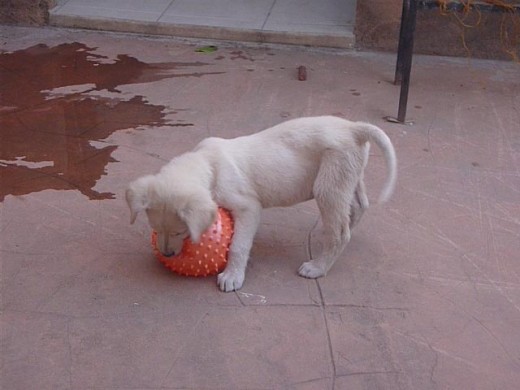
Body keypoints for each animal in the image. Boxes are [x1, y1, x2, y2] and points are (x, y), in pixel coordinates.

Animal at [128, 117, 396, 290]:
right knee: (359, 206)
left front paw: (232, 277)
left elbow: (238, 245)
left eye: (178, 231)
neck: (207, 163)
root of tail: (354, 128)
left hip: (329, 183)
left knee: (340, 233)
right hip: (348, 176)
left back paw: (317, 267)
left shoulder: (248, 207)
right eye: (155, 229)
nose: (167, 254)